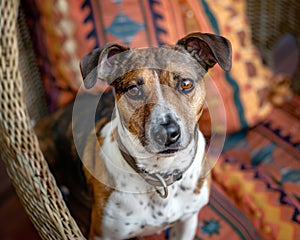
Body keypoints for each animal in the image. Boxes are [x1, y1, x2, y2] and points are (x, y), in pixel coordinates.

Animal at [35, 31, 232, 240]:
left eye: (186, 84)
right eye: (133, 90)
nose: (167, 133)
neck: (161, 172)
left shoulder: (187, 221)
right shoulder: (102, 233)